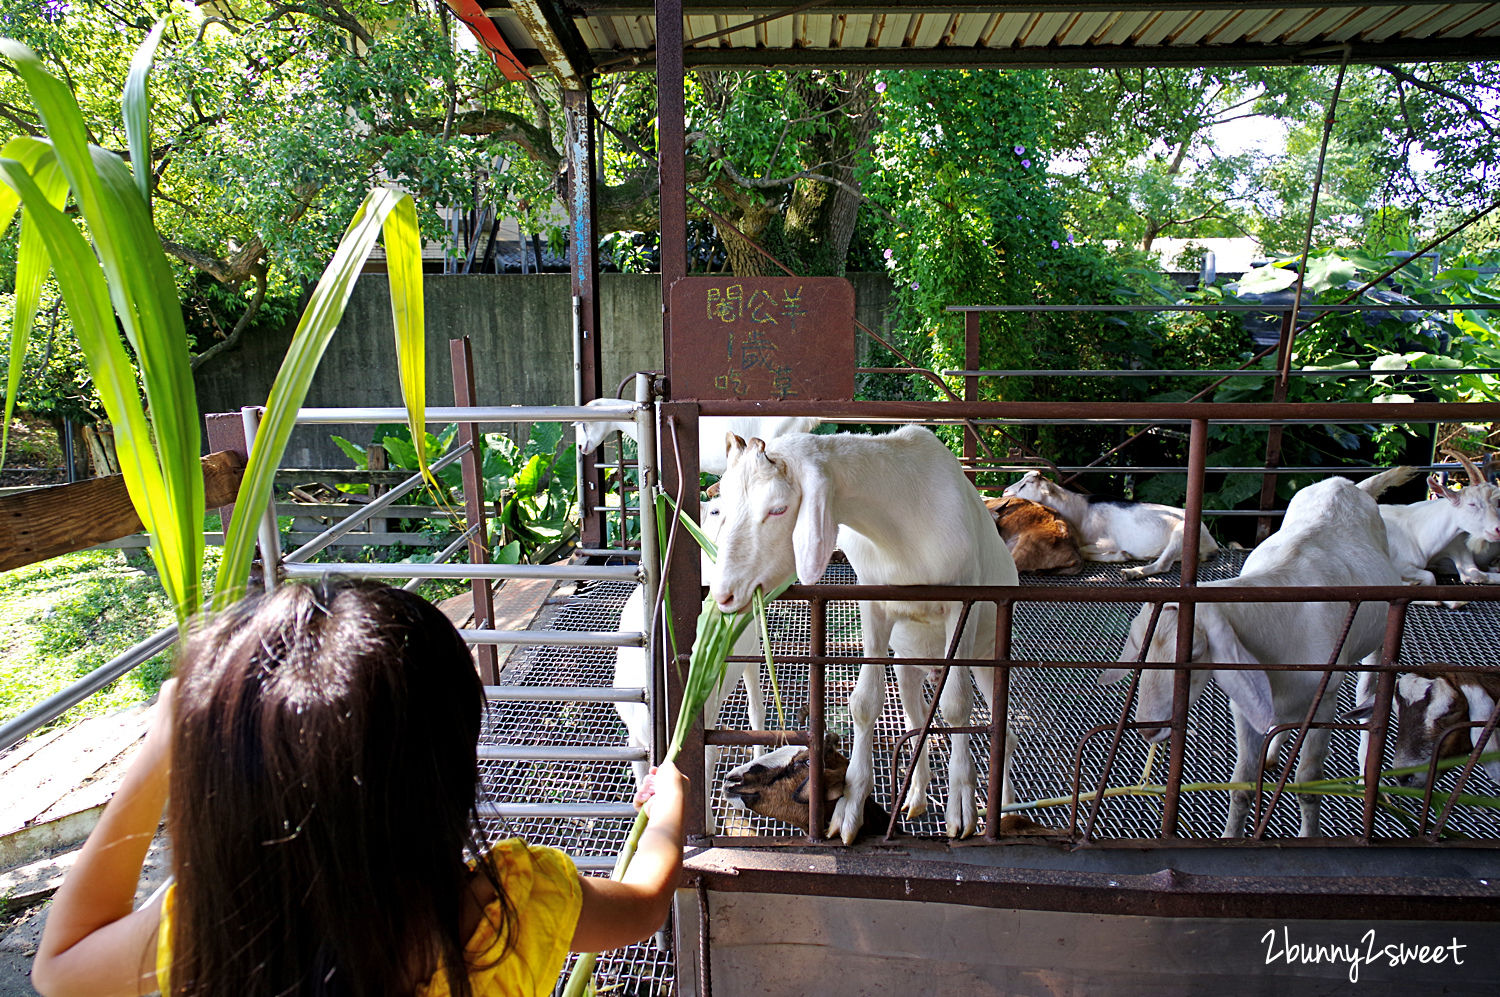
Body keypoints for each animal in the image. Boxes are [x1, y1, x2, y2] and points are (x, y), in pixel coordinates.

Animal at [615, 497, 768, 833]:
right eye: (715, 510)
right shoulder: (636, 737)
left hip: (753, 654)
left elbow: (706, 762)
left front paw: (707, 827)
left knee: (756, 710)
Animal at [996, 470, 1218, 578]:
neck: (1081, 510)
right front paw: (1123, 556)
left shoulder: (1106, 541)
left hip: (1182, 532)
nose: (1005, 491)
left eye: (1026, 484)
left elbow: (1084, 551)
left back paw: (1132, 572)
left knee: (1162, 565)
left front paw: (1122, 555)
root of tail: (1211, 543)